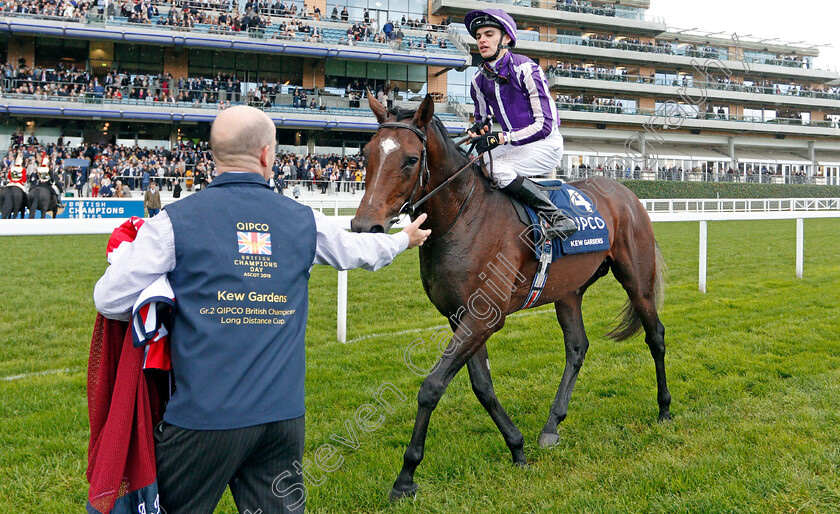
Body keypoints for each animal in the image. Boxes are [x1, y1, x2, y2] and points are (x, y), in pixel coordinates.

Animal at [348, 94, 668, 498]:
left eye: (409, 158)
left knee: (655, 336)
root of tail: (627, 193)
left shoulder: (485, 317)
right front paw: (516, 447)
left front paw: (406, 475)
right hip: (568, 291)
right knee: (577, 347)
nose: (364, 225)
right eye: (367, 153)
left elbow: (432, 386)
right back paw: (551, 426)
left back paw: (664, 408)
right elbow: (482, 386)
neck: (462, 217)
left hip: (636, 277)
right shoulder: (460, 316)